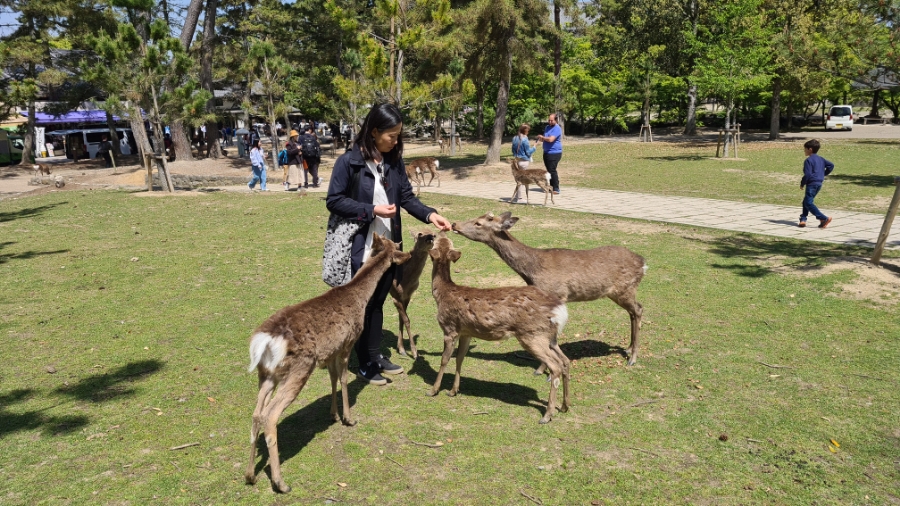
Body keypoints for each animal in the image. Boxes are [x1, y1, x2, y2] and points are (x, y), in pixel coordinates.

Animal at [248, 234, 414, 494]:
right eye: (397, 248)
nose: (406, 252)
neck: (358, 298)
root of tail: (263, 341)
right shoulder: (347, 343)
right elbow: (344, 379)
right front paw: (349, 418)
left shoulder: (331, 352)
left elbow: (333, 379)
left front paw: (334, 415)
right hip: (298, 370)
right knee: (270, 416)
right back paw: (280, 483)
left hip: (266, 374)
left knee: (256, 415)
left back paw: (250, 475)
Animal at [388, 228, 438, 356]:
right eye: (420, 234)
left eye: (434, 234)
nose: (430, 237)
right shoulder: (395, 295)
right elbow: (407, 320)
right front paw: (414, 352)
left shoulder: (407, 296)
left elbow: (402, 318)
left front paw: (401, 349)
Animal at [428, 233, 568, 422]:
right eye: (444, 240)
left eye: (439, 241)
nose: (438, 233)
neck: (442, 294)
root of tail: (559, 310)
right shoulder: (466, 332)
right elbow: (460, 358)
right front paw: (453, 391)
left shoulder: (450, 328)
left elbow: (444, 359)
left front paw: (434, 390)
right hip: (550, 338)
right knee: (565, 361)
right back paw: (564, 406)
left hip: (532, 335)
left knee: (556, 366)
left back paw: (547, 415)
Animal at [450, 211, 648, 370]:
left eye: (479, 223)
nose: (454, 224)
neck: (532, 270)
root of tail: (643, 263)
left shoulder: (556, 294)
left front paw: (541, 369)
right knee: (633, 311)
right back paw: (628, 348)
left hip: (625, 289)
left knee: (638, 309)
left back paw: (632, 358)